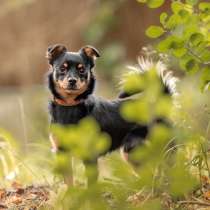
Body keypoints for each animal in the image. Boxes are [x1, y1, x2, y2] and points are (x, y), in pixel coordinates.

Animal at [46, 44, 176, 161]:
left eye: (82, 70)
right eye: (62, 69)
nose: (72, 80)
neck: (70, 105)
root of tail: (161, 106)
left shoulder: (89, 155)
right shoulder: (61, 152)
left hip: (141, 150)